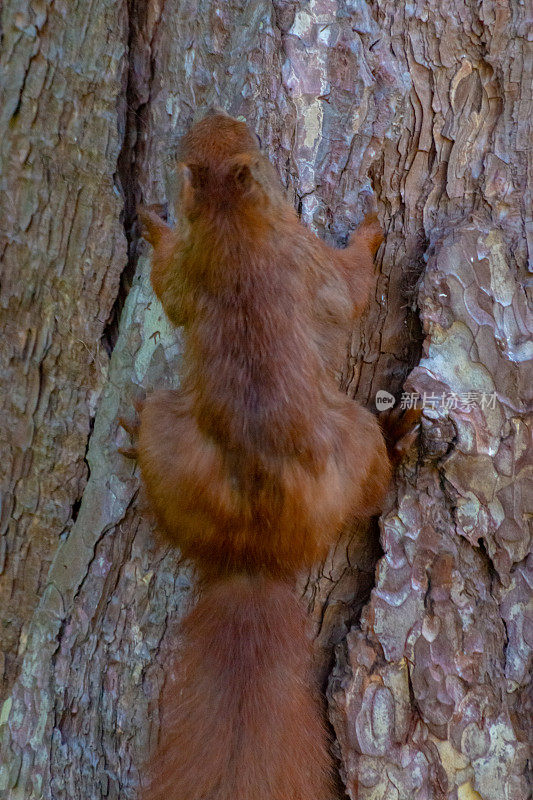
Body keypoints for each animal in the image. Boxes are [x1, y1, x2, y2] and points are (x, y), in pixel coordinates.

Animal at [120, 112, 404, 800]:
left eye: (233, 136)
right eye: (251, 144)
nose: (217, 115)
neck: (234, 224)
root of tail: (254, 556)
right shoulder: (306, 258)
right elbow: (352, 287)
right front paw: (371, 231)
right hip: (352, 439)